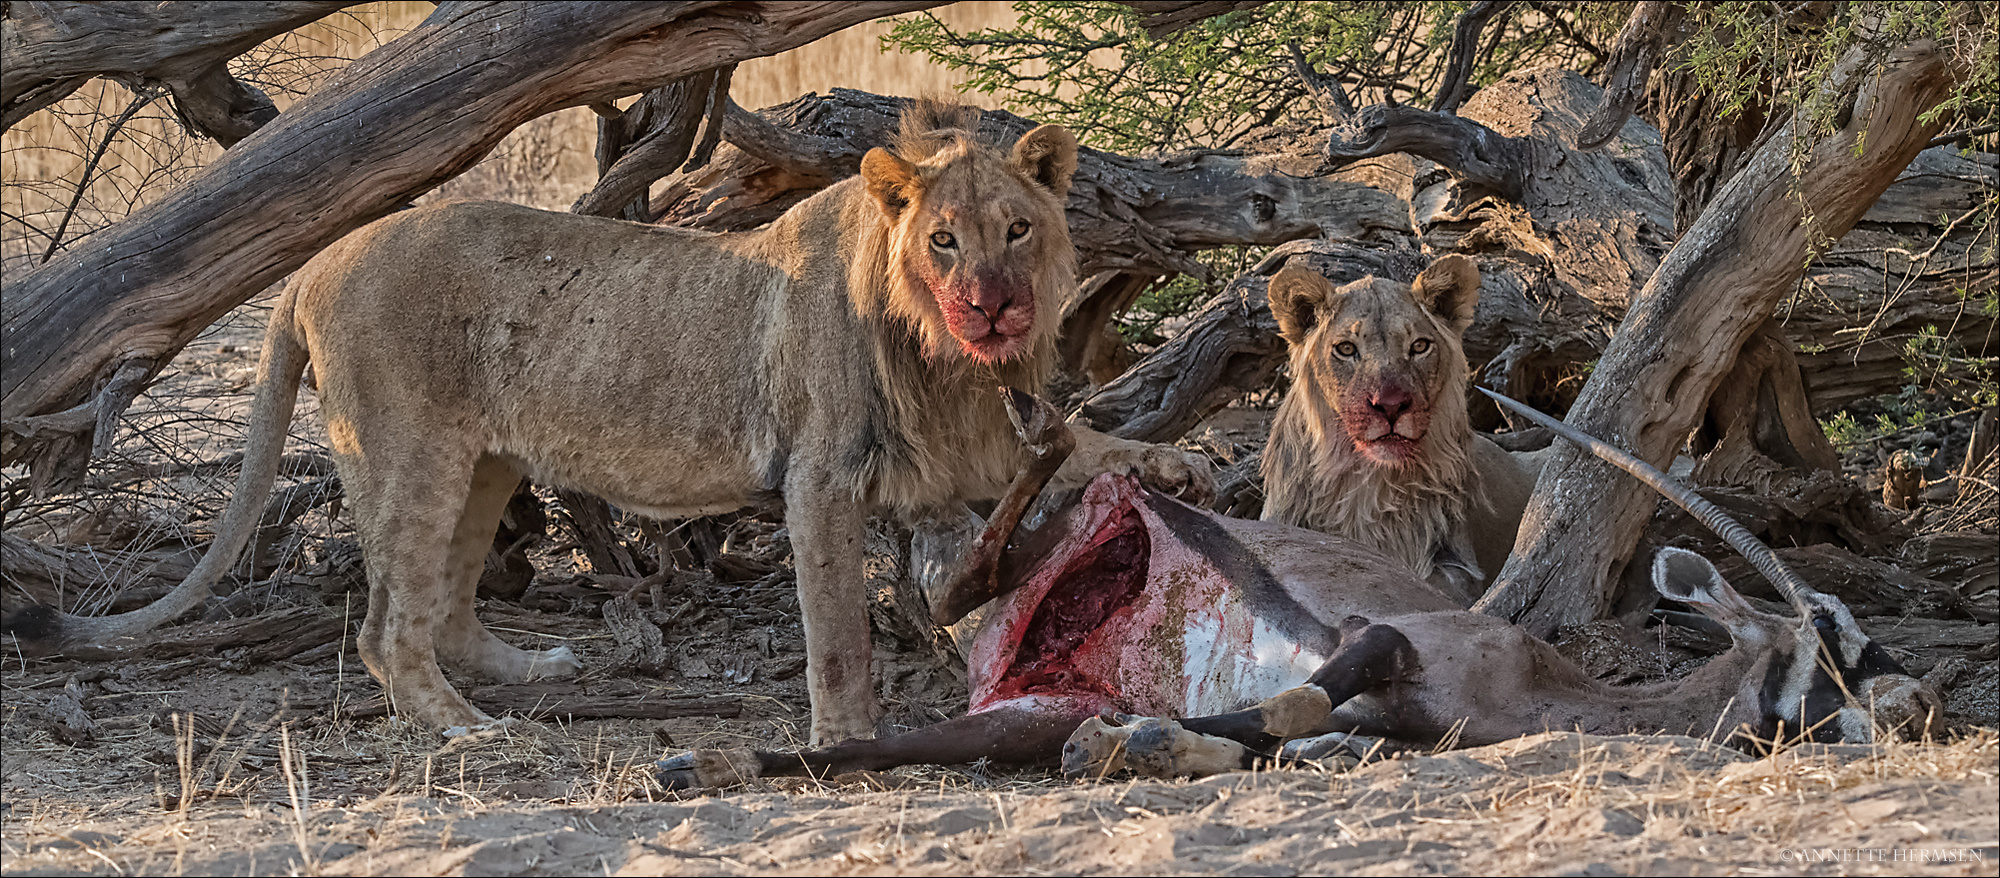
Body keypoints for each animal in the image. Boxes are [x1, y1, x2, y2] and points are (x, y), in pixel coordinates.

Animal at [15, 103, 1208, 748]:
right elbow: (836, 628)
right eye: (945, 241)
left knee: (447, 604)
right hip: (409, 454)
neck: (951, 362)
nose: (993, 306)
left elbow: (1091, 442)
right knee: (388, 624)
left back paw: (532, 671)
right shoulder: (820, 478)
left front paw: (1179, 460)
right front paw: (844, 740)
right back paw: (462, 726)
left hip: (486, 461)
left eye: (1017, 230)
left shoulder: (994, 442)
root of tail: (318, 259)